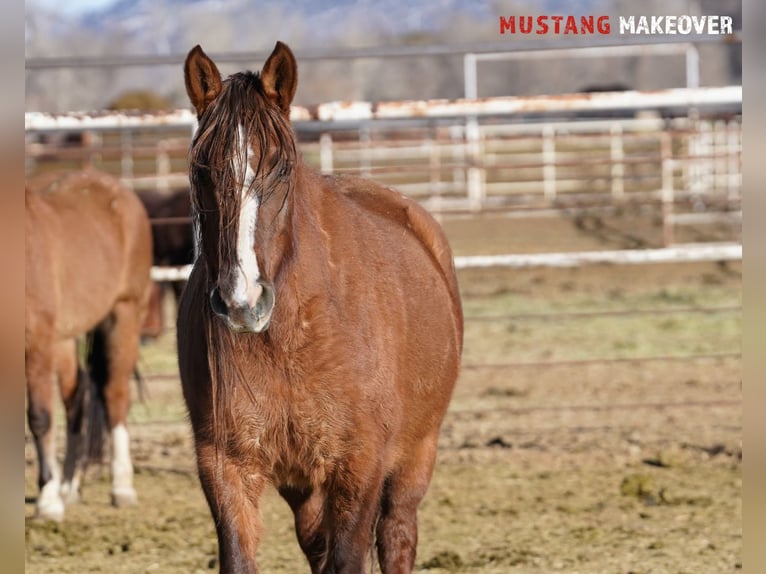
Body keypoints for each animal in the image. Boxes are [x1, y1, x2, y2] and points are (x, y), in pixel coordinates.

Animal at [25, 170, 154, 520]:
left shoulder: (36, 343)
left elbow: (40, 417)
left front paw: (47, 501)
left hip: (123, 314)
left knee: (115, 394)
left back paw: (121, 486)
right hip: (64, 337)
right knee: (76, 395)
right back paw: (69, 486)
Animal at [179, 42, 464, 572]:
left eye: (282, 167)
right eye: (202, 171)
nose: (242, 302)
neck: (292, 336)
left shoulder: (359, 464)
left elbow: (351, 555)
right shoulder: (225, 467)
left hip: (416, 454)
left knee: (396, 534)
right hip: (303, 484)